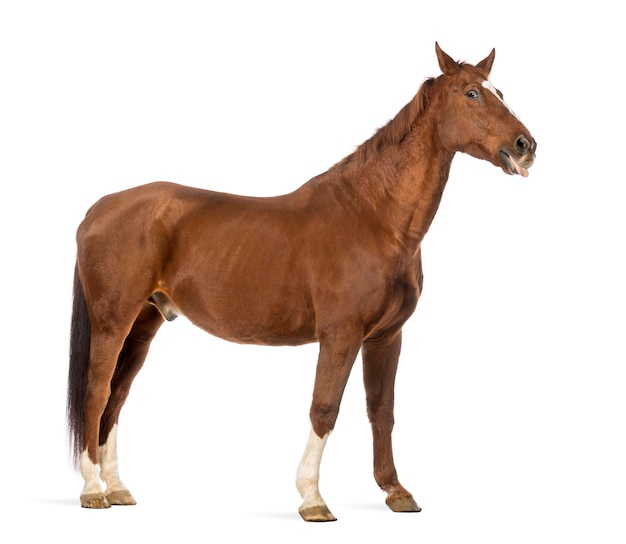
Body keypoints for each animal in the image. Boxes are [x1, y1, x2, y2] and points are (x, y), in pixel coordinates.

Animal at [68, 42, 536, 520]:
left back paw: (118, 488)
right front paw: (312, 497)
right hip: (113, 323)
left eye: (499, 91)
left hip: (143, 324)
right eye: (471, 94)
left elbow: (381, 410)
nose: (526, 146)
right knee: (96, 392)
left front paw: (396, 491)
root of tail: (98, 209)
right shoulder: (341, 335)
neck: (373, 216)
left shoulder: (387, 336)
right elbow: (324, 408)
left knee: (117, 398)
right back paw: (92, 490)